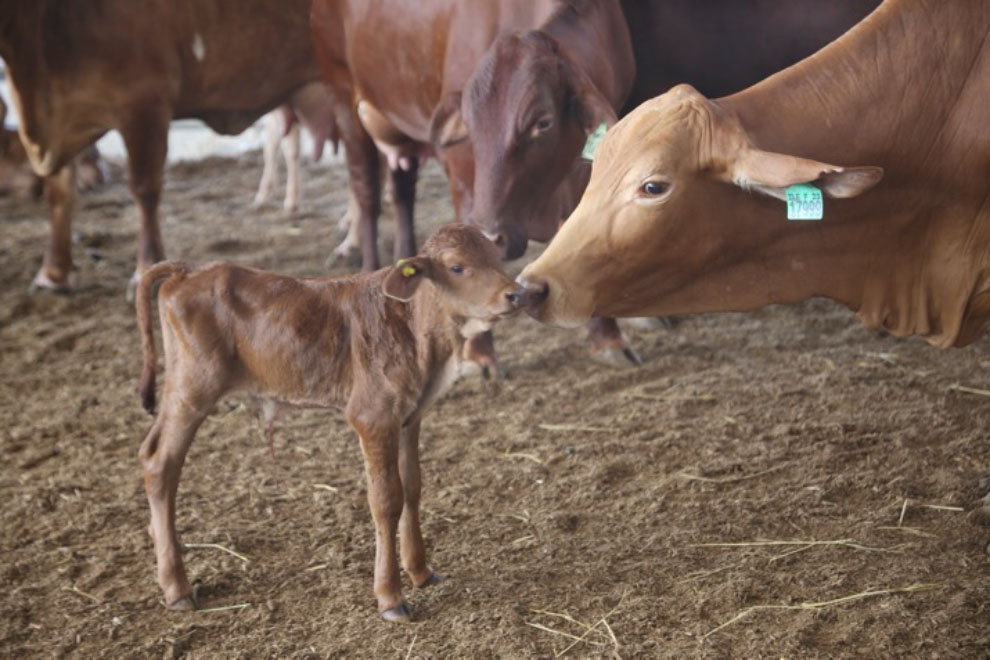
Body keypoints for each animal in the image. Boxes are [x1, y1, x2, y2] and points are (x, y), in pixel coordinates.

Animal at [135, 223, 527, 622]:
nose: (516, 293)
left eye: (496, 258)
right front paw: (390, 596)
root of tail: (190, 268)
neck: (416, 330)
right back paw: (176, 586)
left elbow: (413, 487)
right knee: (160, 462)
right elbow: (386, 499)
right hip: (193, 387)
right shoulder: (373, 417)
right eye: (457, 266)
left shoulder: (409, 417)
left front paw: (420, 571)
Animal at [310, 0, 639, 367]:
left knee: (402, 189)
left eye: (543, 122)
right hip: (344, 98)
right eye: (470, 124)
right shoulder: (461, 165)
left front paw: (608, 337)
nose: (494, 234)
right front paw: (480, 351)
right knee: (366, 192)